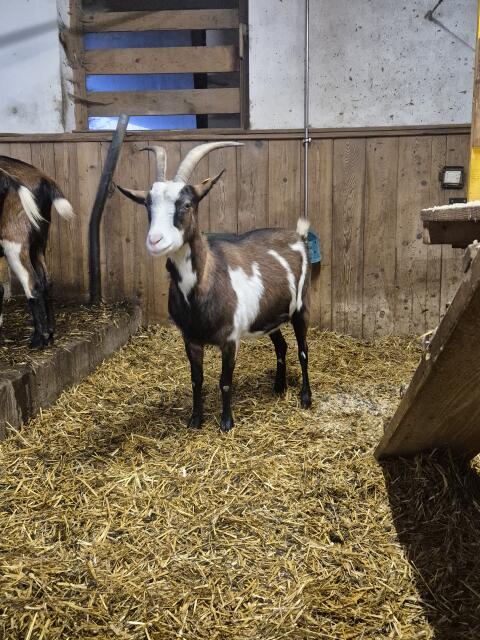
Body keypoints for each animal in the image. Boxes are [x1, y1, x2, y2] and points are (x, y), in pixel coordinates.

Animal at [0, 156, 74, 348]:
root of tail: (45, 180)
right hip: (38, 242)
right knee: (46, 281)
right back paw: (50, 334)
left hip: (15, 241)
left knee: (32, 285)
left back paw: (38, 340)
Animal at [118, 142, 312, 431]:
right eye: (147, 205)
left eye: (187, 204)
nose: (155, 240)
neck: (202, 288)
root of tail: (297, 235)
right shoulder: (190, 339)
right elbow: (196, 380)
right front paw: (195, 420)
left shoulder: (230, 339)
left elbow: (225, 381)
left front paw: (226, 423)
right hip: (268, 315)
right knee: (281, 345)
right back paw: (279, 387)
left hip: (300, 307)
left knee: (303, 350)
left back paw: (306, 397)